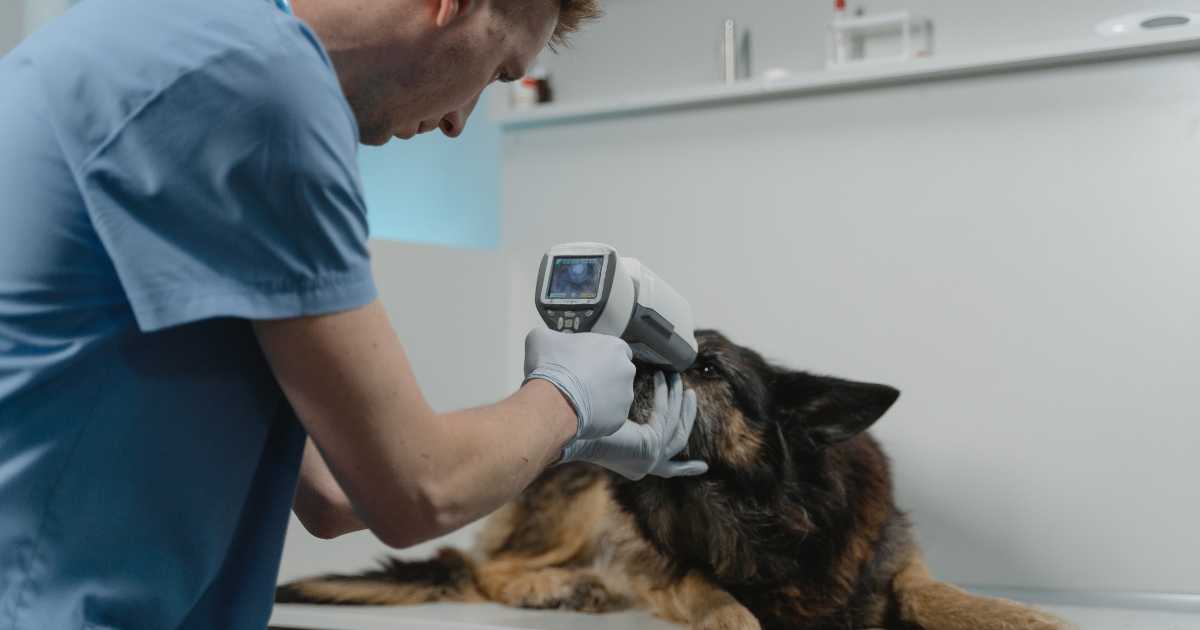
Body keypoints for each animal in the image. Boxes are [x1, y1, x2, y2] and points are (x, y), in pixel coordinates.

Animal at [276, 331, 1065, 624]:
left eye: (709, 367)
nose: (617, 352)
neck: (764, 522)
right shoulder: (664, 565)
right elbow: (717, 599)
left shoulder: (887, 557)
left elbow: (945, 593)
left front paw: (1022, 614)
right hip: (583, 503)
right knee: (488, 567)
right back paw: (551, 587)